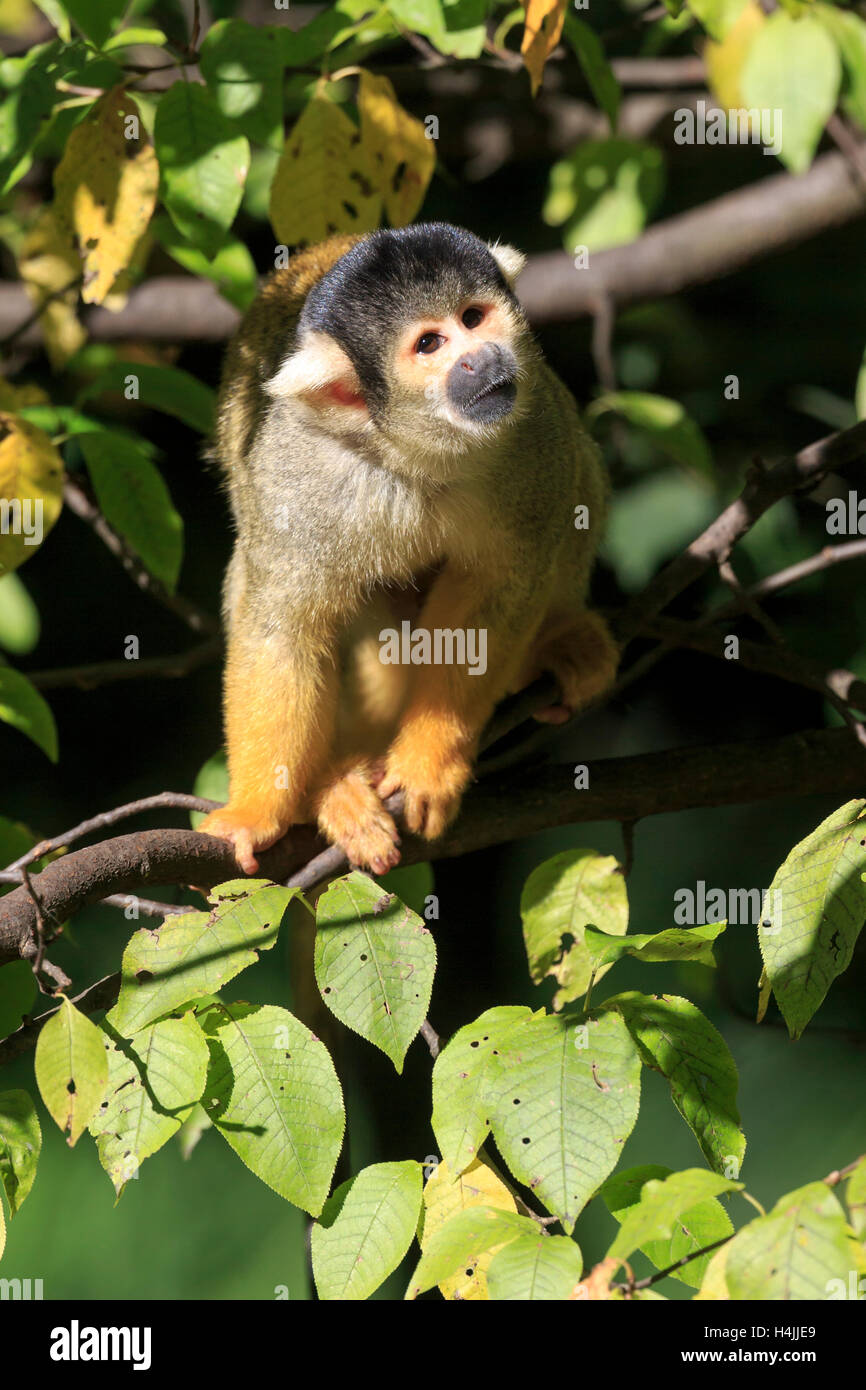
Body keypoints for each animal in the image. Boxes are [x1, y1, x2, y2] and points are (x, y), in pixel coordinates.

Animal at [200, 219, 619, 867]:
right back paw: (332, 787)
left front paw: (428, 763)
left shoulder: (534, 431)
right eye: (429, 345)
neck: (415, 449)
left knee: (578, 474)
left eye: (473, 317)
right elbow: (283, 630)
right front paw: (254, 814)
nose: (482, 357)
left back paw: (553, 648)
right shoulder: (300, 472)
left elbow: (496, 592)